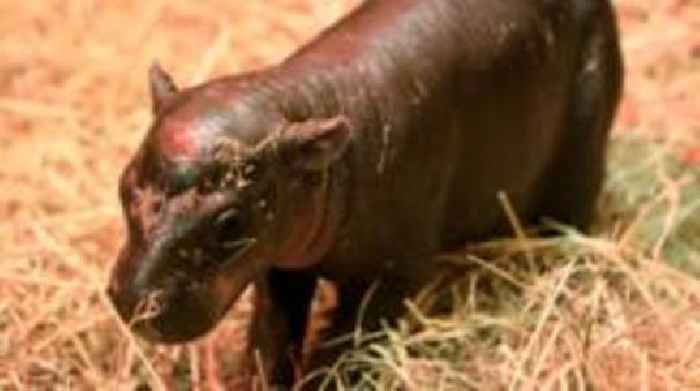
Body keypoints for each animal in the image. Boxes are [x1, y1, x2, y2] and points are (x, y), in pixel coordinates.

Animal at [108, 0, 624, 388]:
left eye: (230, 221)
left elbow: (346, 347)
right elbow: (271, 338)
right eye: (124, 184)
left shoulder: (395, 273)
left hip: (582, 151)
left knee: (569, 216)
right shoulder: (280, 263)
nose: (133, 299)